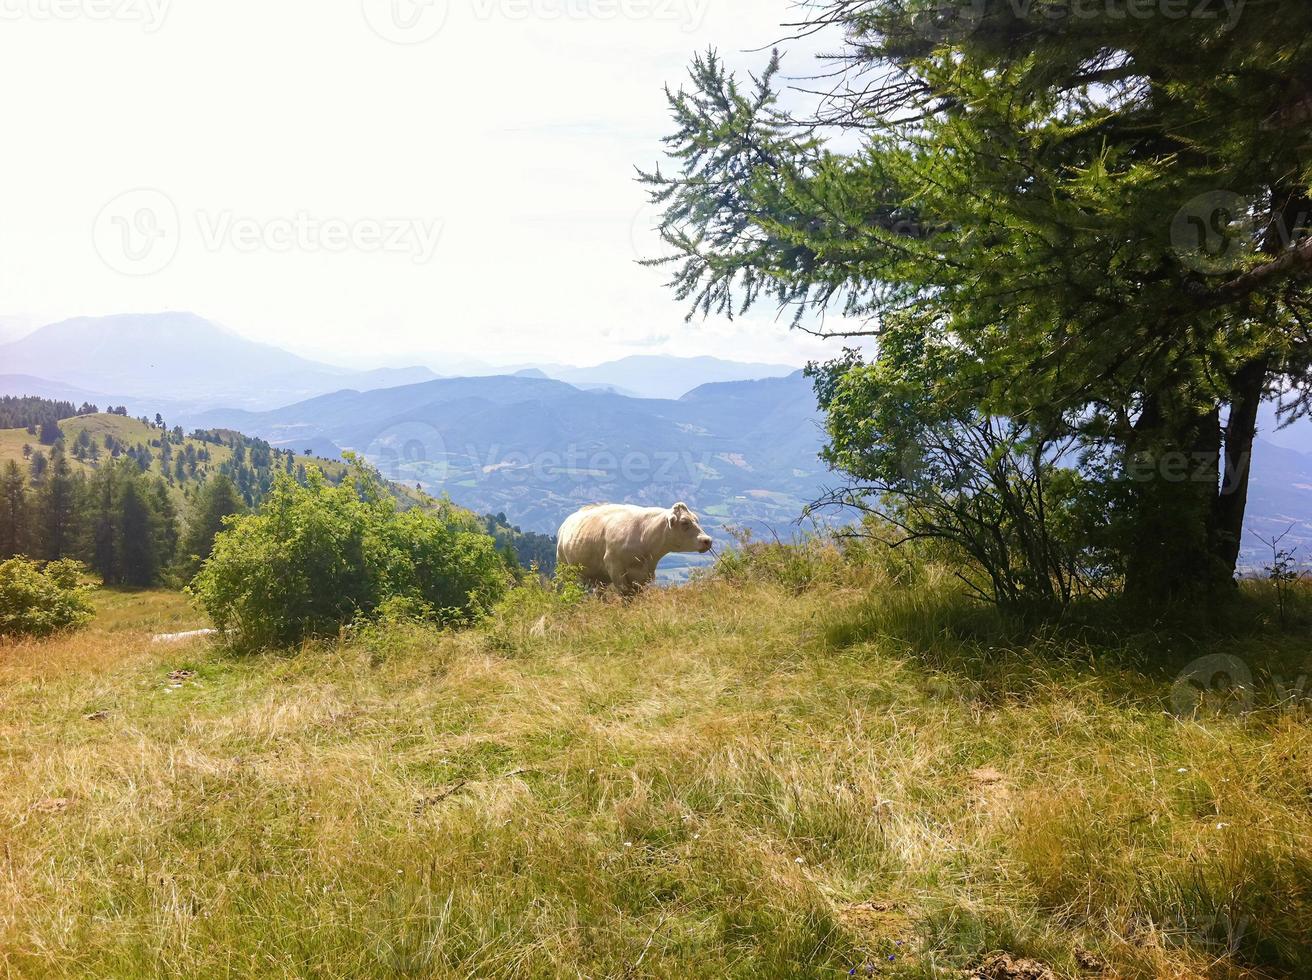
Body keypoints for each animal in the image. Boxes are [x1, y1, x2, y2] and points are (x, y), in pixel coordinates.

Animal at [558, 501, 713, 592]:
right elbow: (627, 596)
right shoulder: (615, 569)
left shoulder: (645, 574)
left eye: (697, 520)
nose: (707, 540)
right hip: (566, 570)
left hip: (598, 578)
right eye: (685, 522)